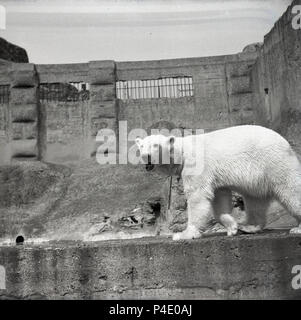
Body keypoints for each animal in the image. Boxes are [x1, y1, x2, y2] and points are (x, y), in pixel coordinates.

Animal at [135, 125, 300, 240]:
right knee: (255, 200)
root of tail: (286, 143)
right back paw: (248, 226)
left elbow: (197, 196)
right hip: (259, 177)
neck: (182, 152)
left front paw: (183, 234)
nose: (146, 156)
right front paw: (232, 226)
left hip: (273, 162)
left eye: (155, 145)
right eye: (141, 146)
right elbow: (219, 197)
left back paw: (297, 228)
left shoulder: (197, 165)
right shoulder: (216, 176)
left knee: (291, 190)